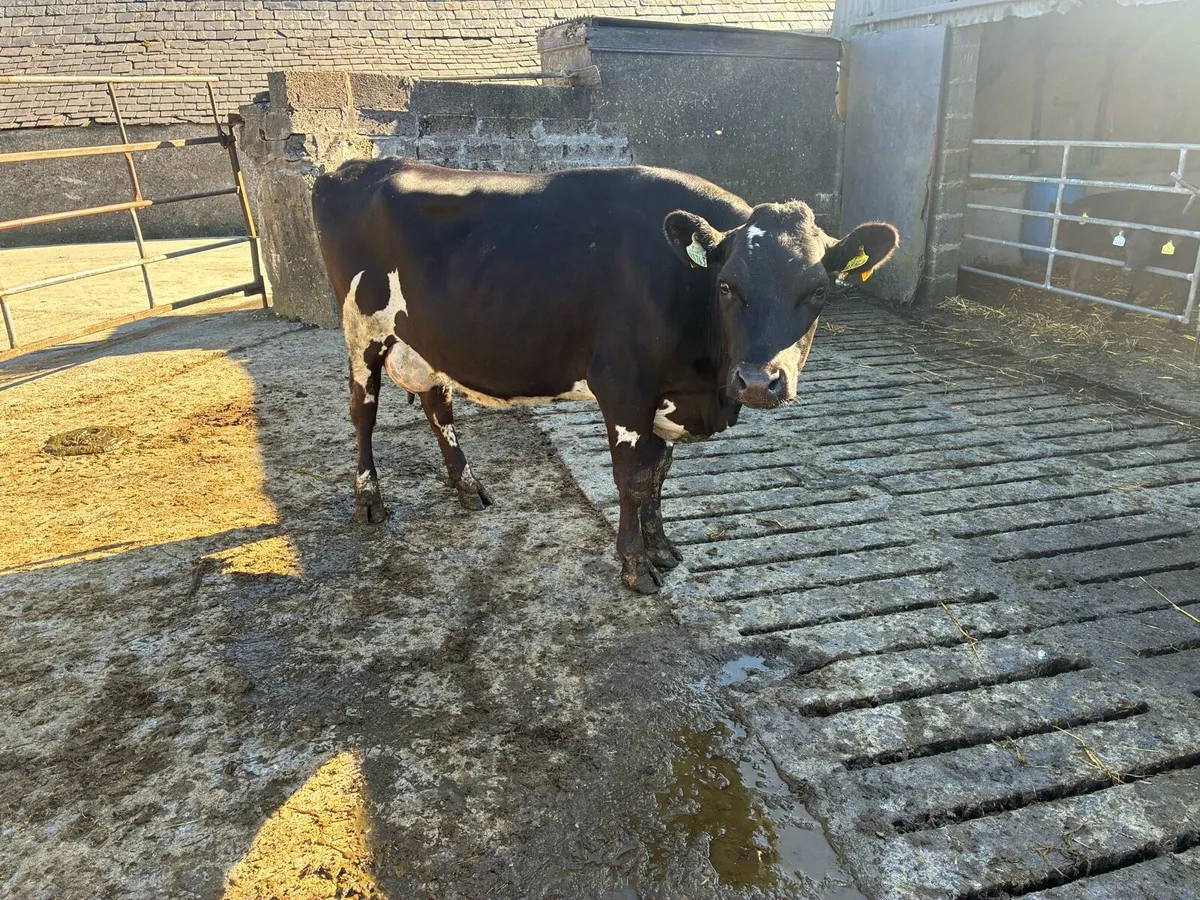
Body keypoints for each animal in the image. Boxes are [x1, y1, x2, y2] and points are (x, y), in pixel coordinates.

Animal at [312, 159, 898, 593]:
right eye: (727, 285)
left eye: (818, 290)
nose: (758, 380)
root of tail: (356, 165)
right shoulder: (623, 386)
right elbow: (633, 478)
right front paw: (636, 564)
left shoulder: (666, 394)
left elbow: (659, 473)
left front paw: (663, 548)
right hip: (359, 329)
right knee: (363, 412)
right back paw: (368, 501)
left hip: (430, 341)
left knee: (439, 407)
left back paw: (468, 488)